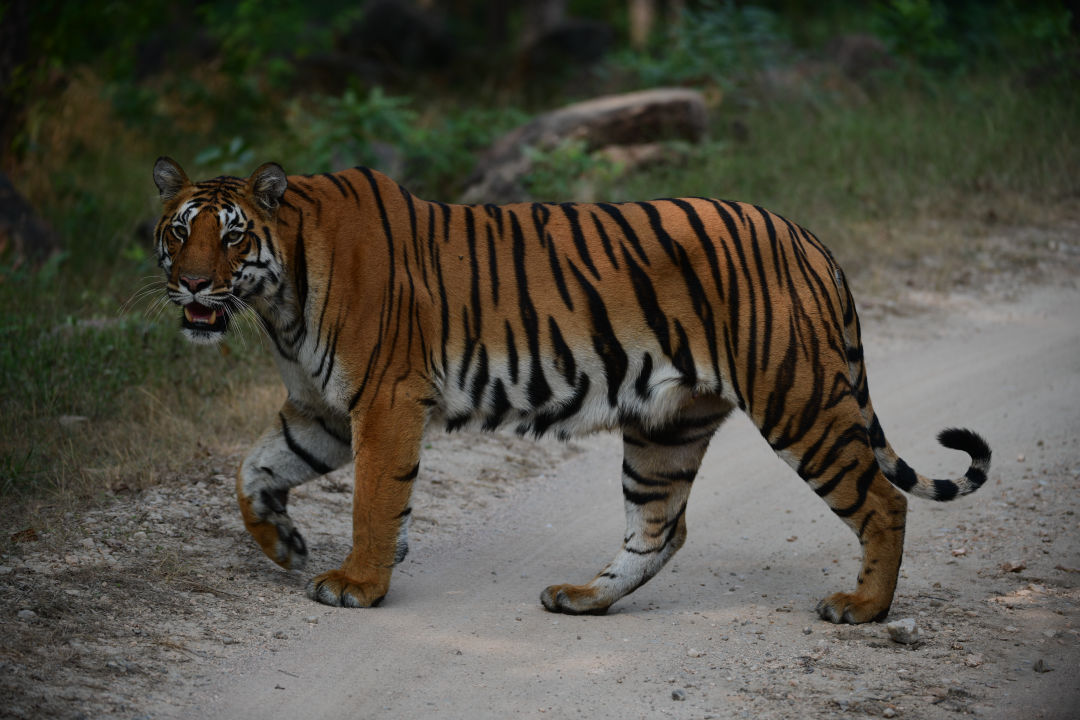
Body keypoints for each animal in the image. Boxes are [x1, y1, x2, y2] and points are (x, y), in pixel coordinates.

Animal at [151, 156, 991, 623]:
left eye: (230, 235)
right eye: (179, 231)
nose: (190, 283)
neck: (278, 300)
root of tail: (811, 240)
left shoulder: (383, 399)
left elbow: (374, 500)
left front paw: (358, 584)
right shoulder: (320, 410)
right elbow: (252, 470)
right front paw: (283, 544)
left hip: (799, 399)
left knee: (881, 500)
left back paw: (863, 609)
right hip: (666, 427)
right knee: (661, 529)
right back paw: (583, 598)